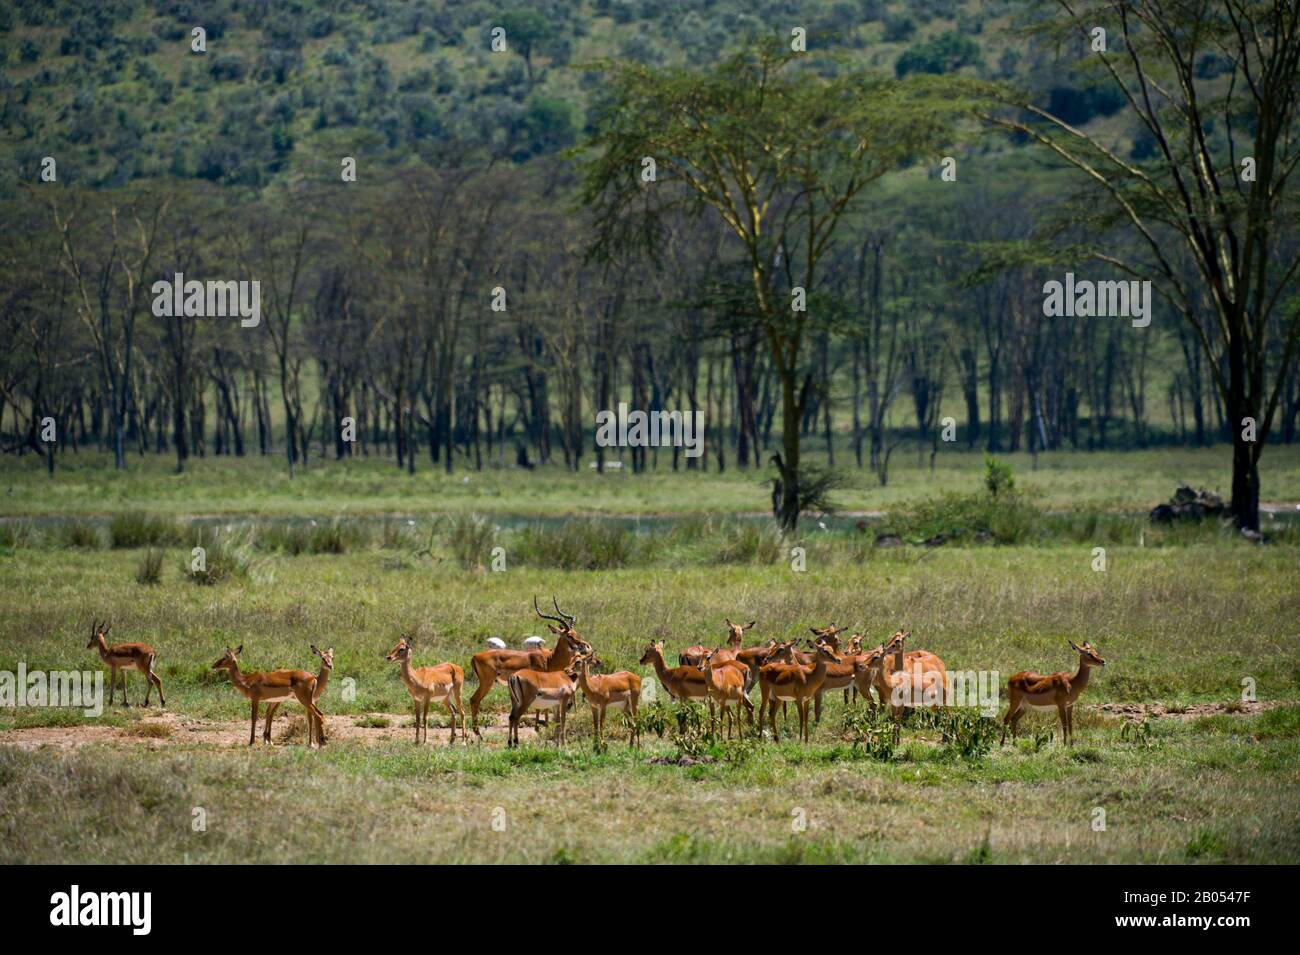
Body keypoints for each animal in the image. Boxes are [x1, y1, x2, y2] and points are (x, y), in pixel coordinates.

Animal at [467, 596, 588, 736]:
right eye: (569, 635)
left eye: (576, 632)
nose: (582, 644)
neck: (549, 660)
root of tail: (475, 656)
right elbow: (541, 708)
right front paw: (540, 727)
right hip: (487, 683)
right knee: (474, 700)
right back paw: (477, 733)